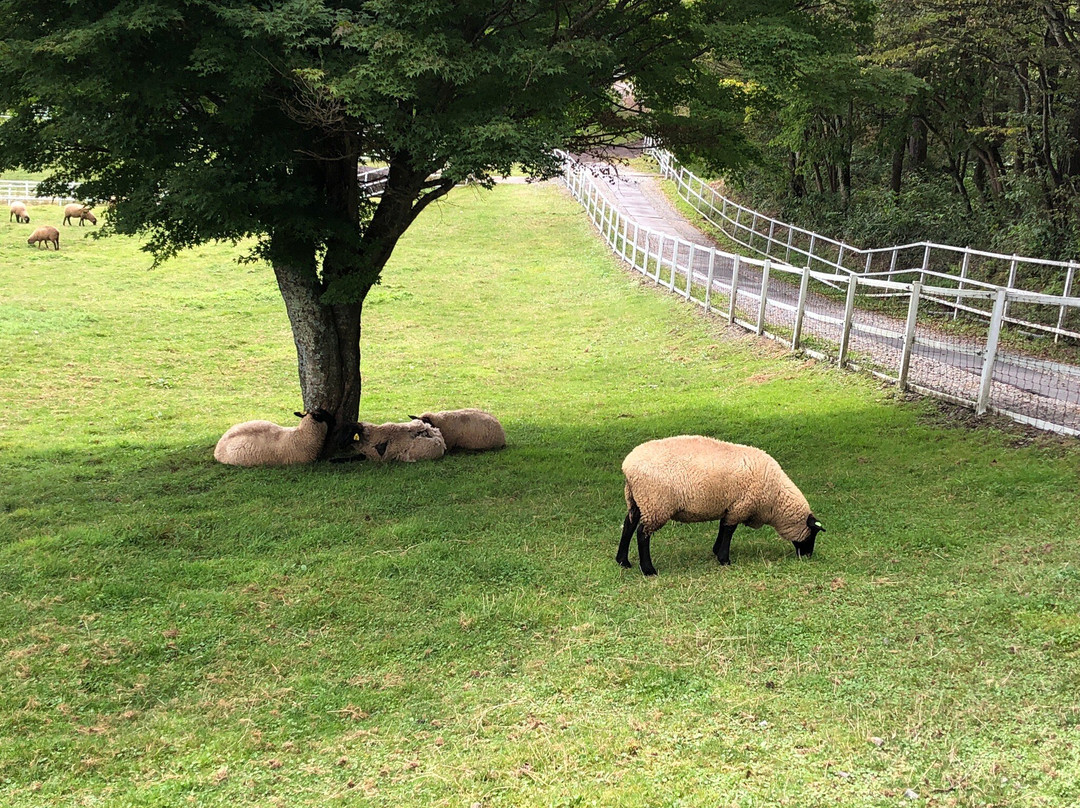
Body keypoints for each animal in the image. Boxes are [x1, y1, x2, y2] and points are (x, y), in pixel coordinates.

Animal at [617, 436, 825, 574]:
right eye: (813, 534)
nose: (807, 556)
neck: (775, 499)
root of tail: (627, 466)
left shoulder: (730, 506)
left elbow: (722, 527)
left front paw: (716, 551)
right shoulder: (741, 506)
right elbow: (729, 531)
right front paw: (724, 559)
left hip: (637, 501)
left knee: (628, 526)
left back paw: (623, 561)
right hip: (655, 503)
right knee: (642, 533)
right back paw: (648, 570)